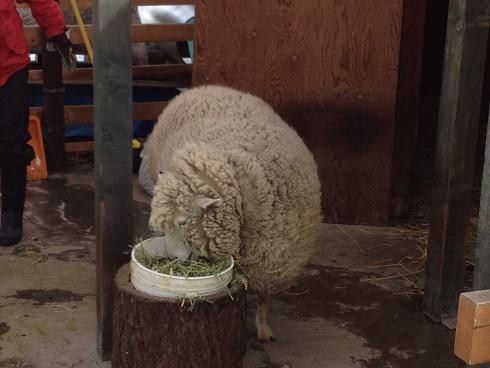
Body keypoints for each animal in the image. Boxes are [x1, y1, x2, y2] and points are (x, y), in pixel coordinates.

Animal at [146, 85, 322, 340]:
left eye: (183, 222)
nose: (173, 260)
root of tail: (202, 88)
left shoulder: (273, 260)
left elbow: (264, 297)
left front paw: (263, 327)